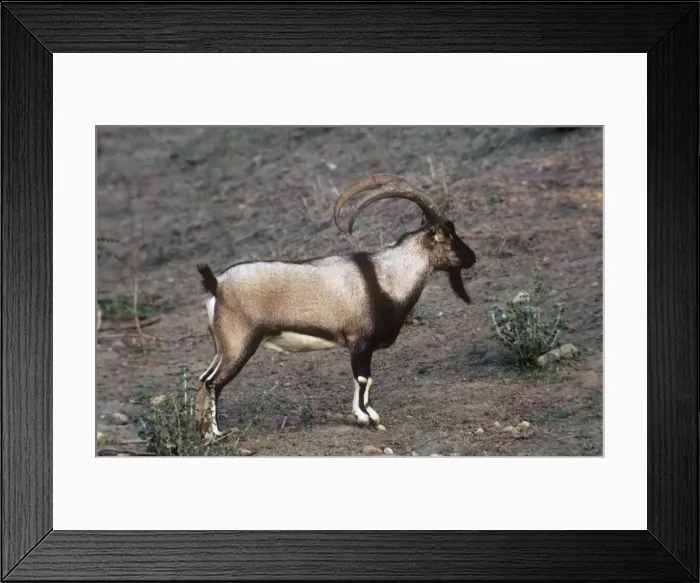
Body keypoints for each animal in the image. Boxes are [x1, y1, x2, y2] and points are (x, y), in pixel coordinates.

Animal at [194, 174, 476, 438]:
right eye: (448, 236)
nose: (472, 257)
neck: (386, 276)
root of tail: (217, 284)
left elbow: (365, 380)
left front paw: (368, 415)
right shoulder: (359, 341)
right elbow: (363, 378)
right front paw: (367, 418)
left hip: (223, 348)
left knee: (203, 378)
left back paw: (202, 430)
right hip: (239, 344)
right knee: (213, 383)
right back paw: (216, 434)